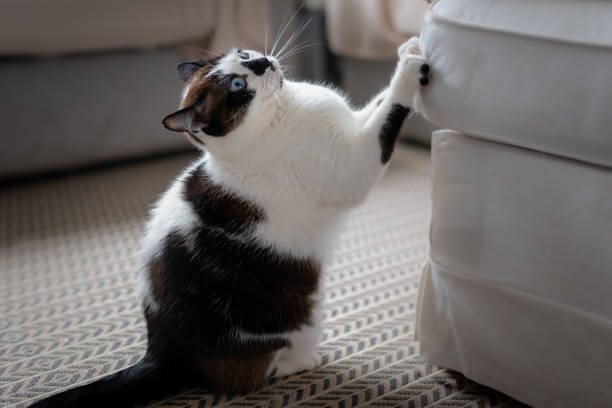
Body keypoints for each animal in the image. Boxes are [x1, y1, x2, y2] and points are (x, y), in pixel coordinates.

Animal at [29, 36, 430, 406]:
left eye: (244, 55)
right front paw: (410, 71)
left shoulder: (354, 125)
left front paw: (409, 50)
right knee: (256, 372)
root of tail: (159, 347)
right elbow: (388, 114)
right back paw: (303, 361)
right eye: (237, 86)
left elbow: (376, 105)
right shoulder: (352, 165)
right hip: (295, 319)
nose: (263, 63)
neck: (283, 110)